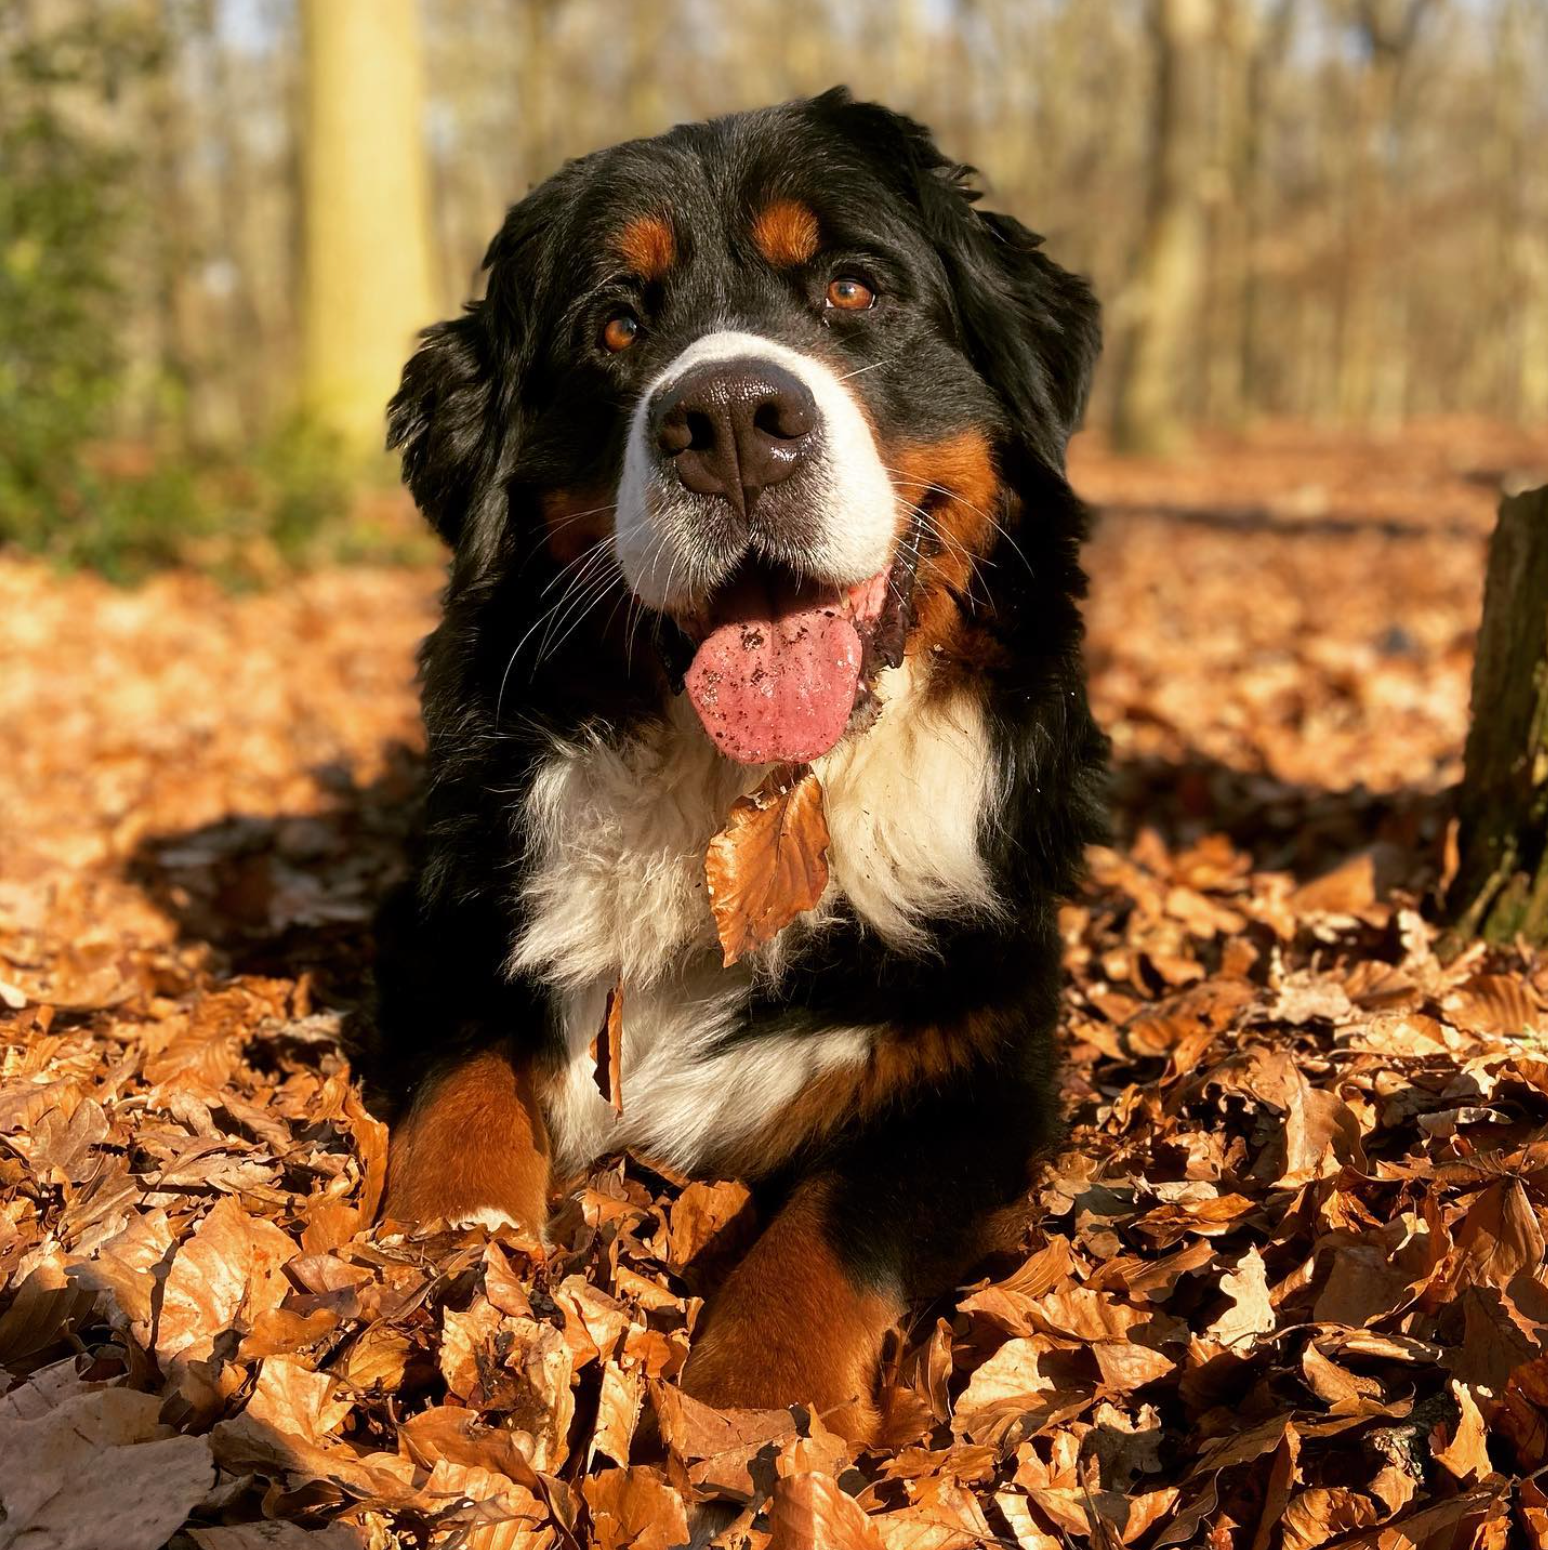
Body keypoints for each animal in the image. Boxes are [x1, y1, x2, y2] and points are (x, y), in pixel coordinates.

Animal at [376, 87, 1107, 1441]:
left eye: (855, 287)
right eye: (614, 324)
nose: (725, 423)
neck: (742, 803)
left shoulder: (979, 1050)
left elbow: (825, 1234)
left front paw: (745, 1415)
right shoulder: (452, 917)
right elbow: (466, 1090)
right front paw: (447, 1251)